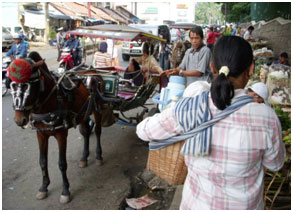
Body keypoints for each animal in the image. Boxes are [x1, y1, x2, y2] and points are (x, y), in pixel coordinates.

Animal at [9, 51, 105, 204]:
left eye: (28, 86)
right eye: (11, 84)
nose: (19, 120)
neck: (49, 101)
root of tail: (92, 70)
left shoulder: (61, 135)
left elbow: (62, 163)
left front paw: (65, 190)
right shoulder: (41, 134)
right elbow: (42, 162)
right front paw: (43, 187)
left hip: (97, 109)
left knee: (98, 131)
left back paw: (98, 156)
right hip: (83, 114)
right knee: (85, 133)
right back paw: (84, 157)